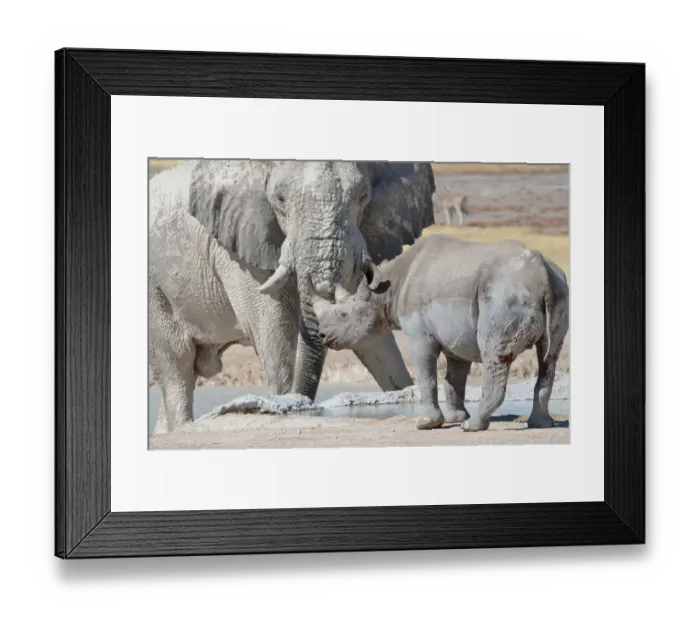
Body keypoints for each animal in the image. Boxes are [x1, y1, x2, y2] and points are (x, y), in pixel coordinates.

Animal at [148, 159, 436, 432]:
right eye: (280, 199)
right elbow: (274, 330)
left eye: (363, 196)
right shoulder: (235, 247)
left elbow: (373, 339)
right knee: (178, 365)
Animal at [309, 234, 569, 432]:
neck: (386, 289)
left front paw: (428, 423)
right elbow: (454, 377)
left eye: (343, 315)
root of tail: (541, 273)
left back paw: (472, 427)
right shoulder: (457, 336)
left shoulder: (419, 336)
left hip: (503, 295)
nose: (321, 335)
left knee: (494, 356)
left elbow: (427, 376)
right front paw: (456, 418)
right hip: (558, 287)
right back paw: (540, 424)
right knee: (549, 356)